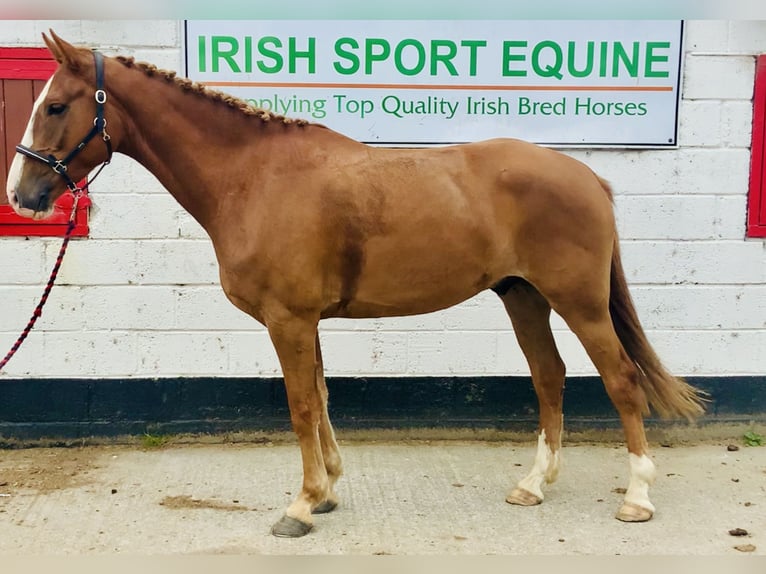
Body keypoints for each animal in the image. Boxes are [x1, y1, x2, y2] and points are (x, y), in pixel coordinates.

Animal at [6, 32, 704, 540]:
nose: (22, 195)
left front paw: (302, 504)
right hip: (523, 297)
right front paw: (328, 490)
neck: (253, 177)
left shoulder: (288, 319)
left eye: (57, 106)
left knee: (620, 380)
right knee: (549, 377)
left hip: (579, 303)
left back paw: (638, 495)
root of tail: (588, 177)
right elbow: (319, 395)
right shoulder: (303, 320)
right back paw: (533, 485)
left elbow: (300, 405)